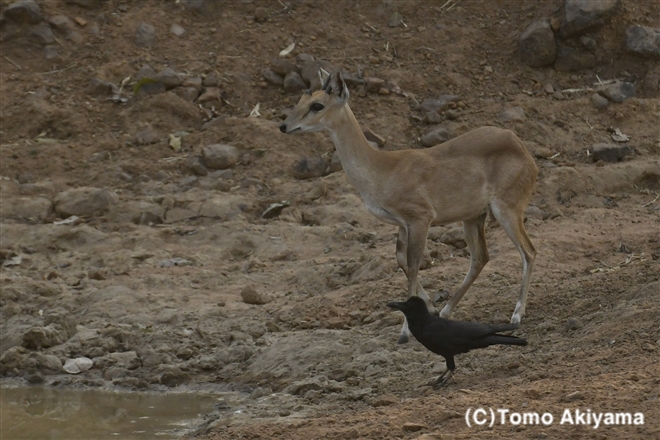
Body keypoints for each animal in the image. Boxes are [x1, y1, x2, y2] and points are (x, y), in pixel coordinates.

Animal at [282, 69, 540, 344]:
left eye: (317, 105)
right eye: (301, 99)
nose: (284, 126)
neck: (382, 168)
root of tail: (522, 148)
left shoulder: (420, 219)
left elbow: (414, 265)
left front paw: (404, 332)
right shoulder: (403, 225)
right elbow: (401, 261)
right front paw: (431, 308)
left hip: (507, 211)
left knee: (529, 252)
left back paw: (516, 316)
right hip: (473, 218)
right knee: (480, 257)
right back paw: (447, 311)